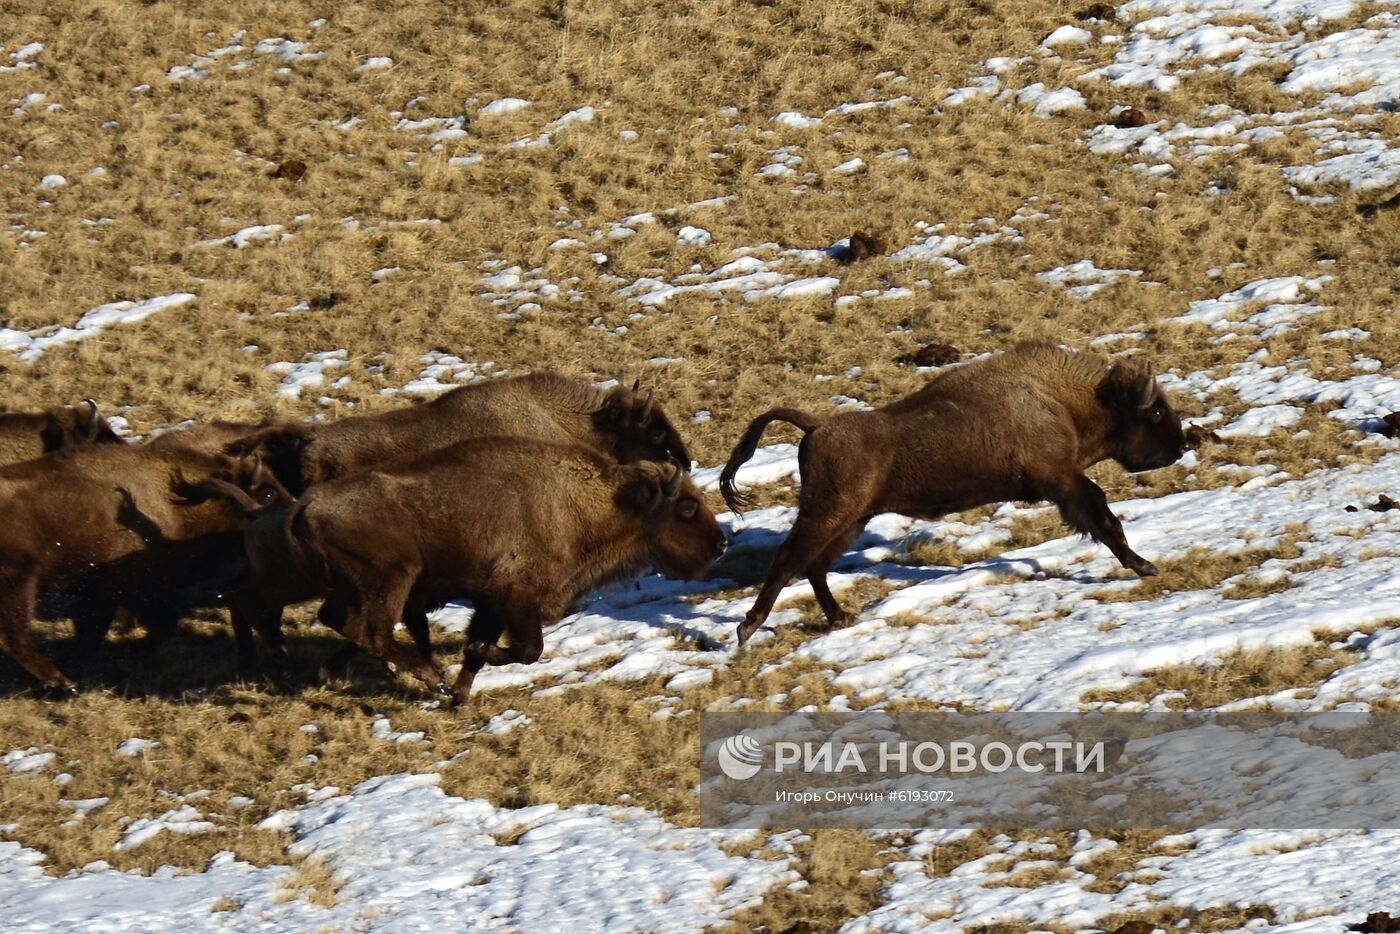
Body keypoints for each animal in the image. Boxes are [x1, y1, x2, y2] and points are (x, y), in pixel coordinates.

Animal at [0, 439, 295, 694]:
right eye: (267, 493)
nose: (288, 525)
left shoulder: (105, 595)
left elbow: (94, 634)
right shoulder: (129, 589)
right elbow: (163, 622)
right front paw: (126, 651)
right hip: (19, 582)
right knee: (14, 638)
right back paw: (61, 681)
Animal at [231, 439, 728, 700]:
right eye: (685, 508)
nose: (720, 543)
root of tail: (307, 504)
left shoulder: (491, 602)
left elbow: (484, 646)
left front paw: (461, 694)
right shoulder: (515, 597)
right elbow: (527, 649)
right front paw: (460, 679)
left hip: (356, 586)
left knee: (340, 620)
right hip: (391, 578)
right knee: (371, 630)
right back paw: (429, 676)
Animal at [716, 340, 1187, 646]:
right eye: (1155, 412)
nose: (1181, 447)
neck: (1063, 401)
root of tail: (816, 425)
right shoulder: (1062, 480)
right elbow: (1104, 519)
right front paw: (1144, 566)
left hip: (851, 520)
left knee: (815, 566)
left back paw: (839, 617)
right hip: (827, 513)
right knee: (789, 560)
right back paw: (747, 628)